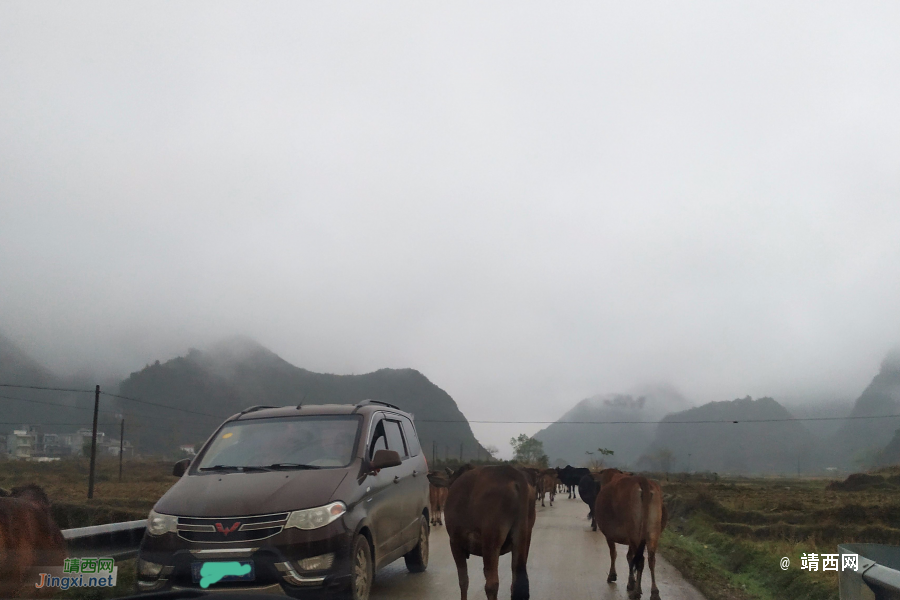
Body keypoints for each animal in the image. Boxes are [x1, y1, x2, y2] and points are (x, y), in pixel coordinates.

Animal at [442, 464, 536, 600]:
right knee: (517, 582)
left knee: (491, 585)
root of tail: (514, 474)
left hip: (490, 539)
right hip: (524, 536)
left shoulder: (455, 543)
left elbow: (463, 581)